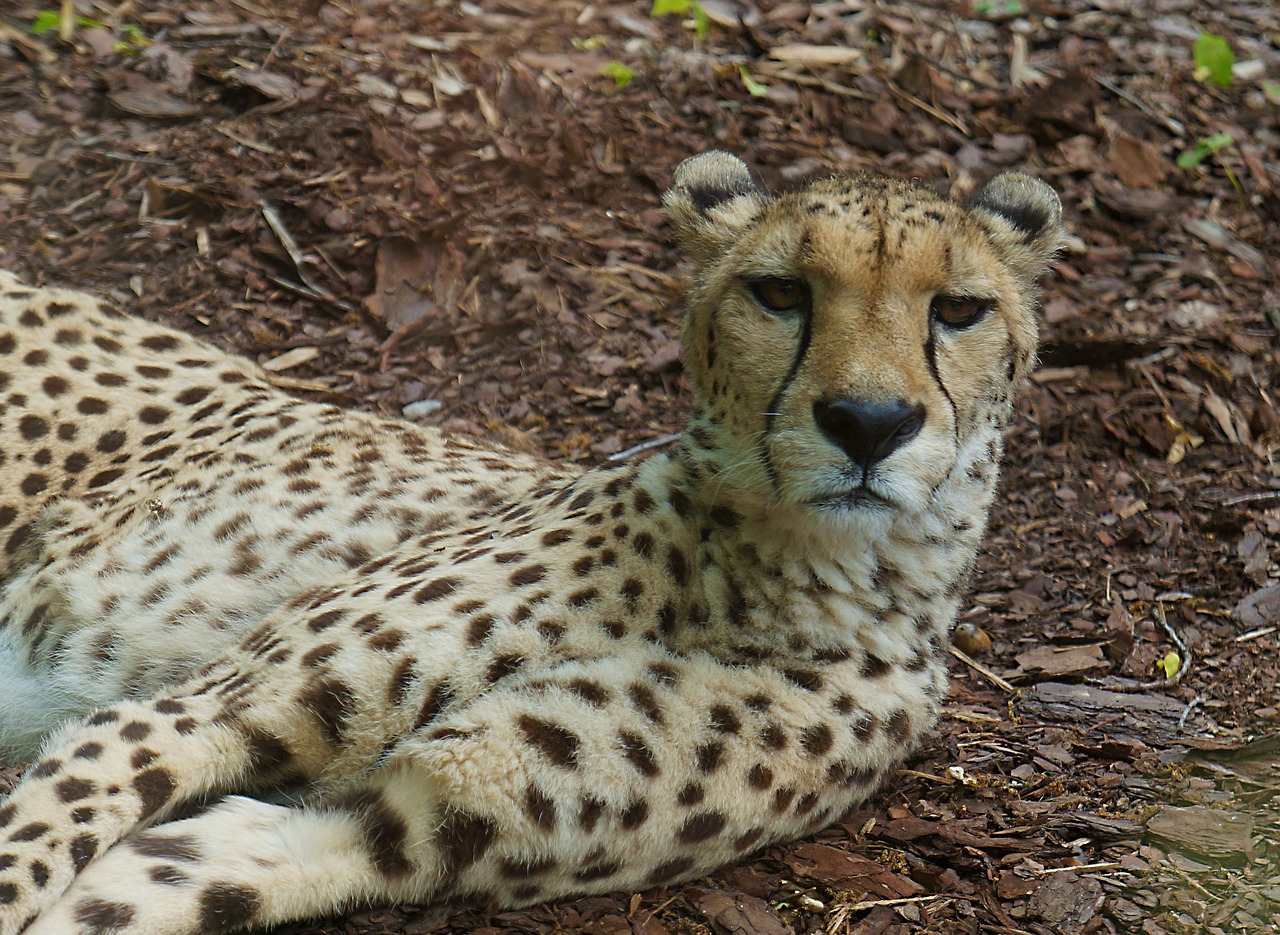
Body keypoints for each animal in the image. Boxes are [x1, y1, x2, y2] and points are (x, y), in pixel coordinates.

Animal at [0, 154, 1059, 932]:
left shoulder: (384, 828)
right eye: (780, 293)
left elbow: (140, 886)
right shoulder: (198, 708)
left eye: (958, 309)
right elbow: (32, 848)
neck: (782, 576)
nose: (869, 423)